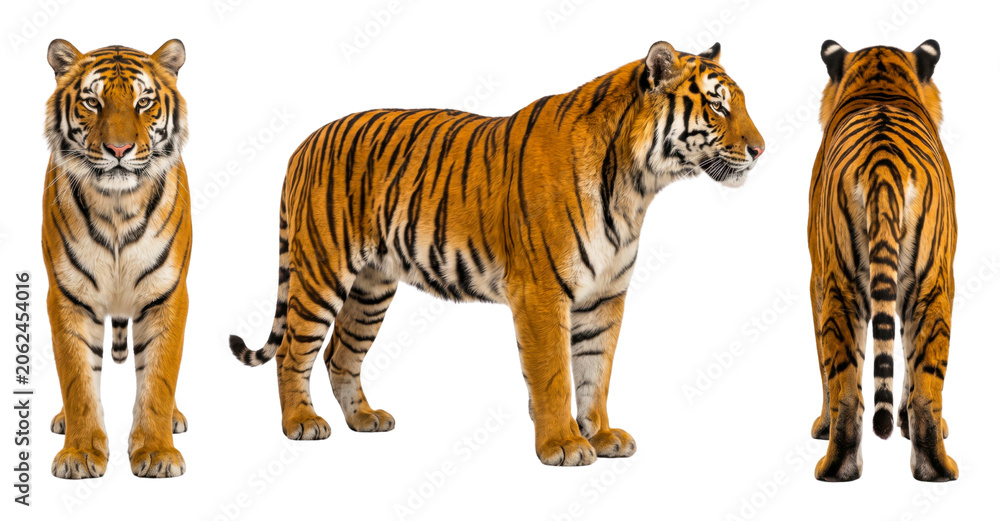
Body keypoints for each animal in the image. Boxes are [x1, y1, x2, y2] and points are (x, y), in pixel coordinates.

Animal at [42, 39, 192, 479]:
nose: (120, 149)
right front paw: (79, 453)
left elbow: (159, 380)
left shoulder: (167, 295)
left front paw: (158, 452)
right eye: (92, 102)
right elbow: (77, 381)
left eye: (144, 102)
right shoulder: (67, 297)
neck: (117, 205)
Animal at [230, 41, 764, 466]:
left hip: (372, 287)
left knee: (341, 353)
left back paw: (364, 418)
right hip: (322, 273)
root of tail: (304, 142)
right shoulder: (542, 292)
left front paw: (602, 435)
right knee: (294, 350)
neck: (637, 185)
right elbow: (554, 375)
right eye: (717, 106)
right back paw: (301, 421)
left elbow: (596, 372)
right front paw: (563, 445)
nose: (761, 149)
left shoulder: (605, 297)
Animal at [808, 39, 957, 481]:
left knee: (845, 388)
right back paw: (936, 467)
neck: (880, 81)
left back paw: (837, 467)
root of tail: (882, 162)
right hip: (931, 285)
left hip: (843, 287)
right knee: (925, 390)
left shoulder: (816, 279)